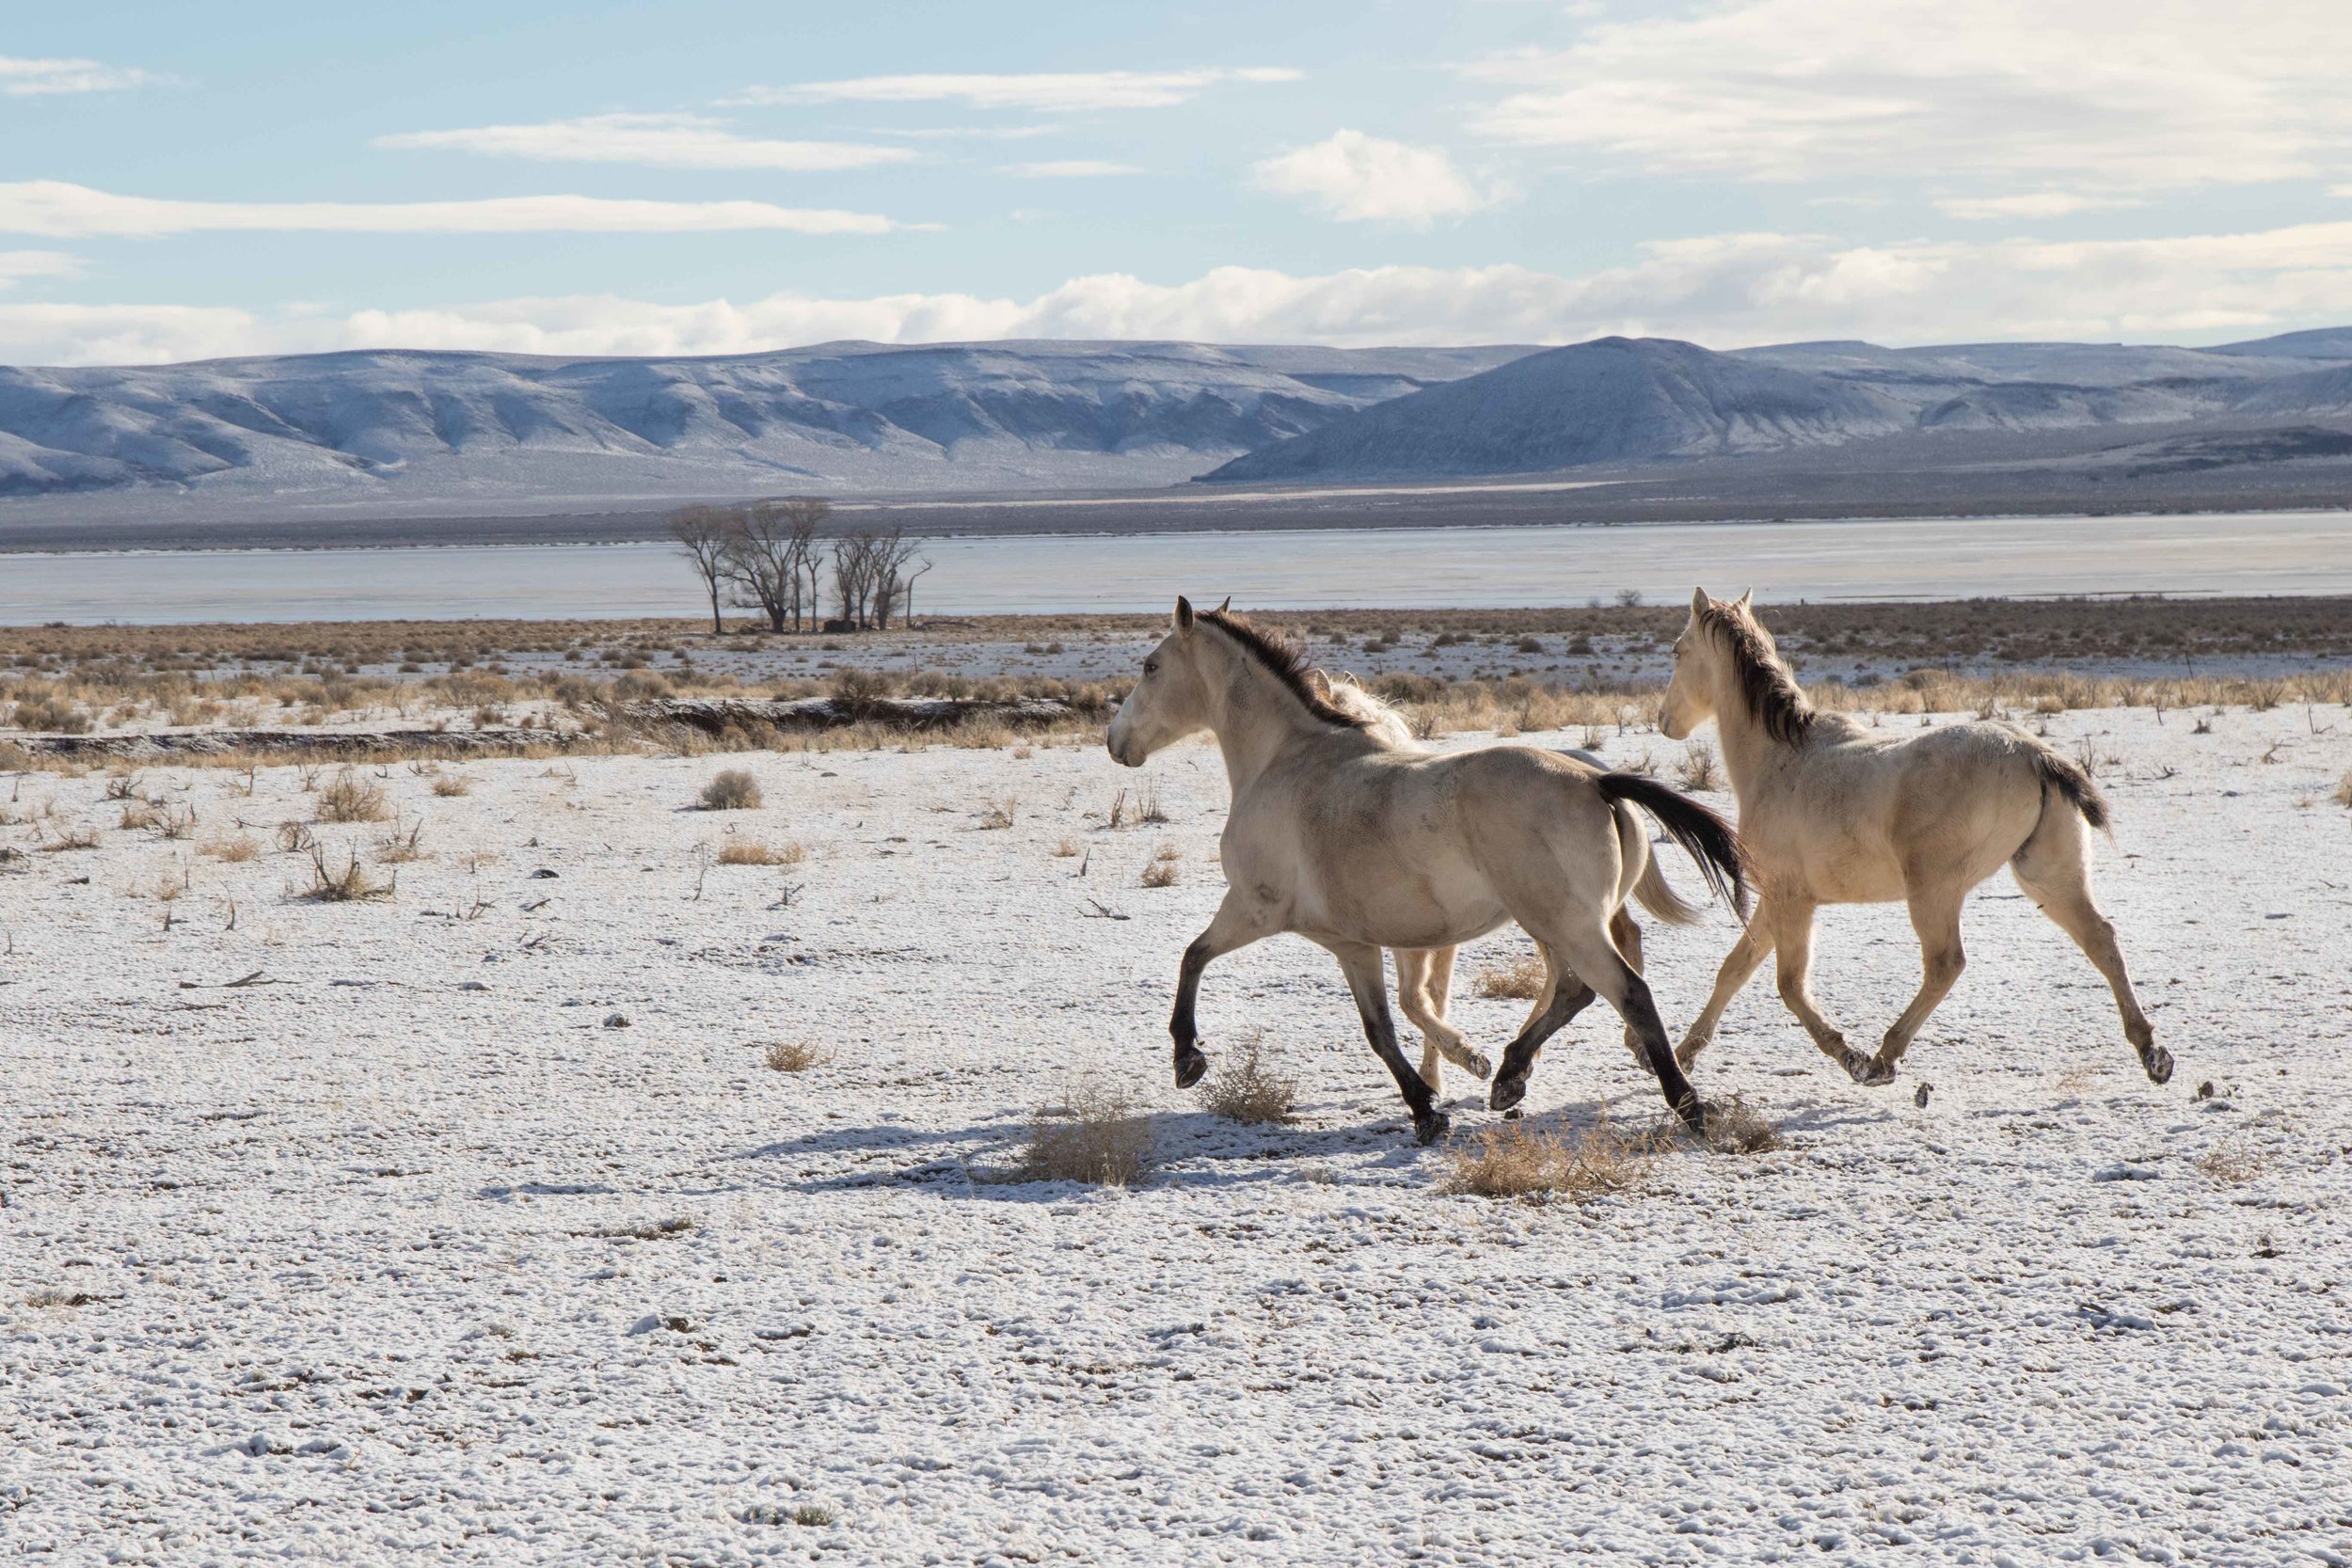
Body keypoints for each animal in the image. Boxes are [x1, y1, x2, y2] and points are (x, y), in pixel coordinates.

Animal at [1298, 676, 1703, 1104]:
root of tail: (1597, 776)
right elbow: (1422, 1000)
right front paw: (1442, 1072)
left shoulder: (1430, 939)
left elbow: (1419, 999)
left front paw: (1457, 1065)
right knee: (1597, 956)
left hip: (1553, 913)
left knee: (1589, 966)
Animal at [1656, 587, 2164, 1090]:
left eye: (1678, 651)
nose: (1663, 720)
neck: (1780, 760)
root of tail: (2034, 753)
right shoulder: (1776, 898)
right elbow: (1735, 968)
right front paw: (1682, 1056)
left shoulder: (1789, 899)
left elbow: (1790, 985)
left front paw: (1850, 1056)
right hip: (2048, 879)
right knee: (2100, 938)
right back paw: (2153, 1052)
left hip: (1934, 890)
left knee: (1945, 964)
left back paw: (1883, 1058)